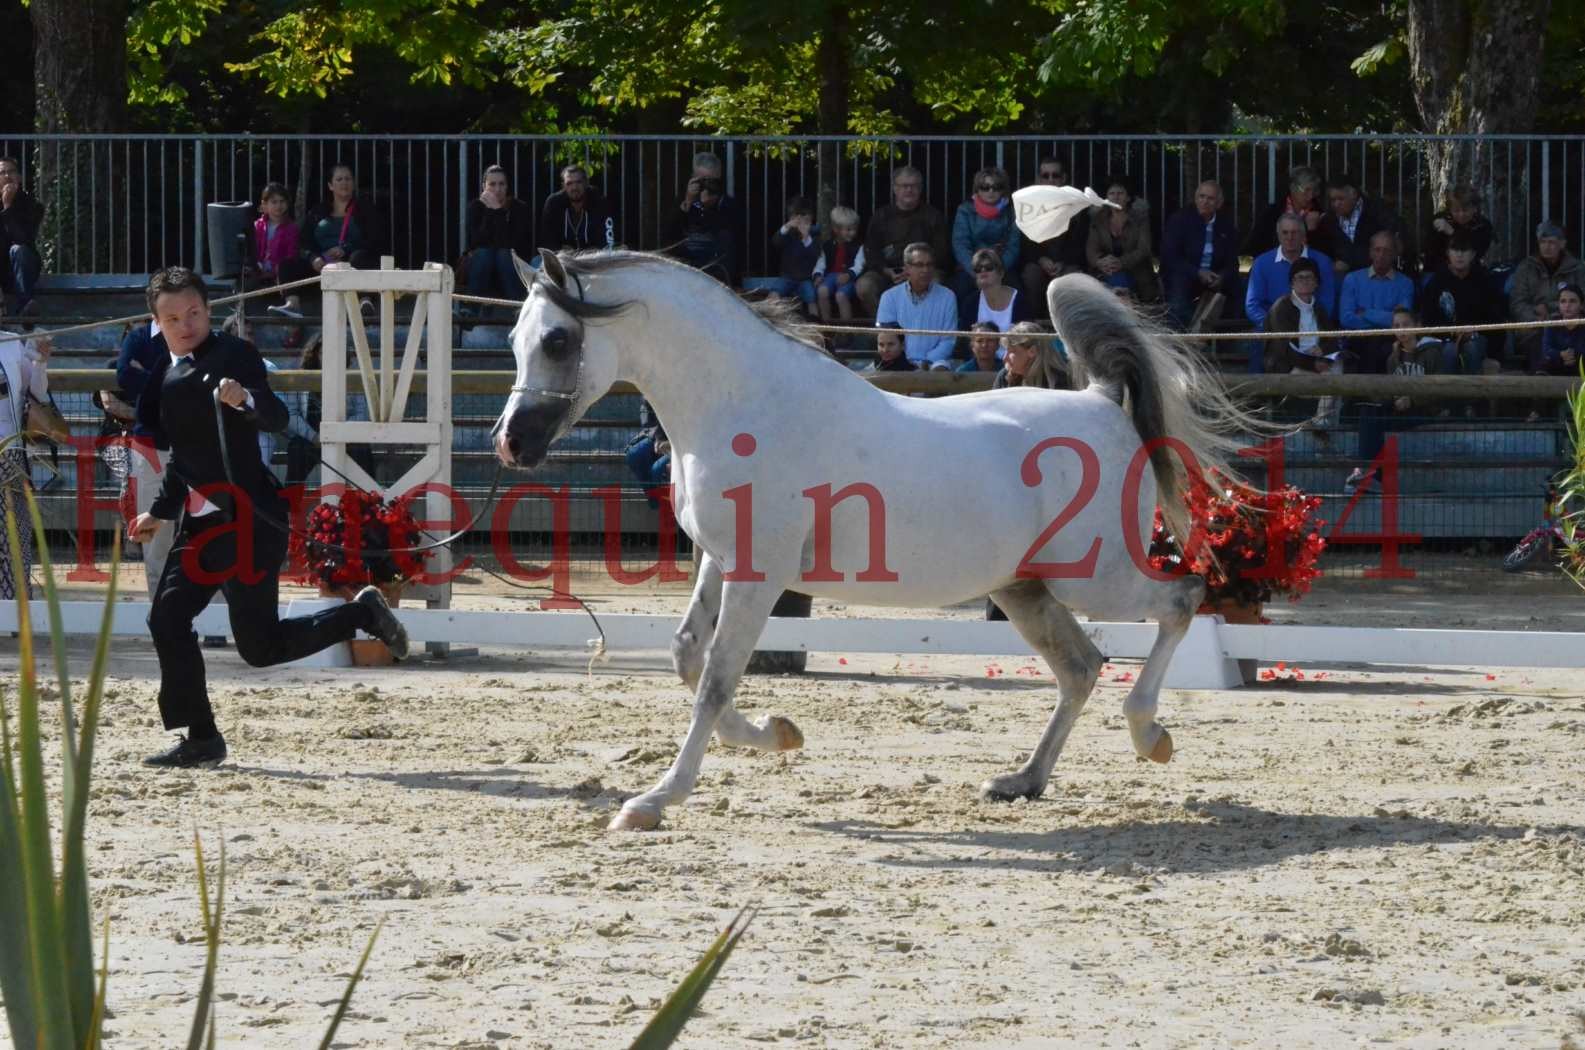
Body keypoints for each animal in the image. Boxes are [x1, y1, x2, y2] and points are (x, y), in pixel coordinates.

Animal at [494, 250, 1261, 837]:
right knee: (1081, 665)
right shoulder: (721, 558)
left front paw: (653, 801)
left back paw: (1148, 735)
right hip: (1024, 587)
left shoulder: (760, 572)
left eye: (557, 340)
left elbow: (713, 679)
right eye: (512, 340)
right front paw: (778, 732)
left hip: (1093, 574)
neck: (743, 402)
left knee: (1182, 598)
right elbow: (687, 657)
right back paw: (1022, 780)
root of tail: (1101, 401)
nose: (511, 444)